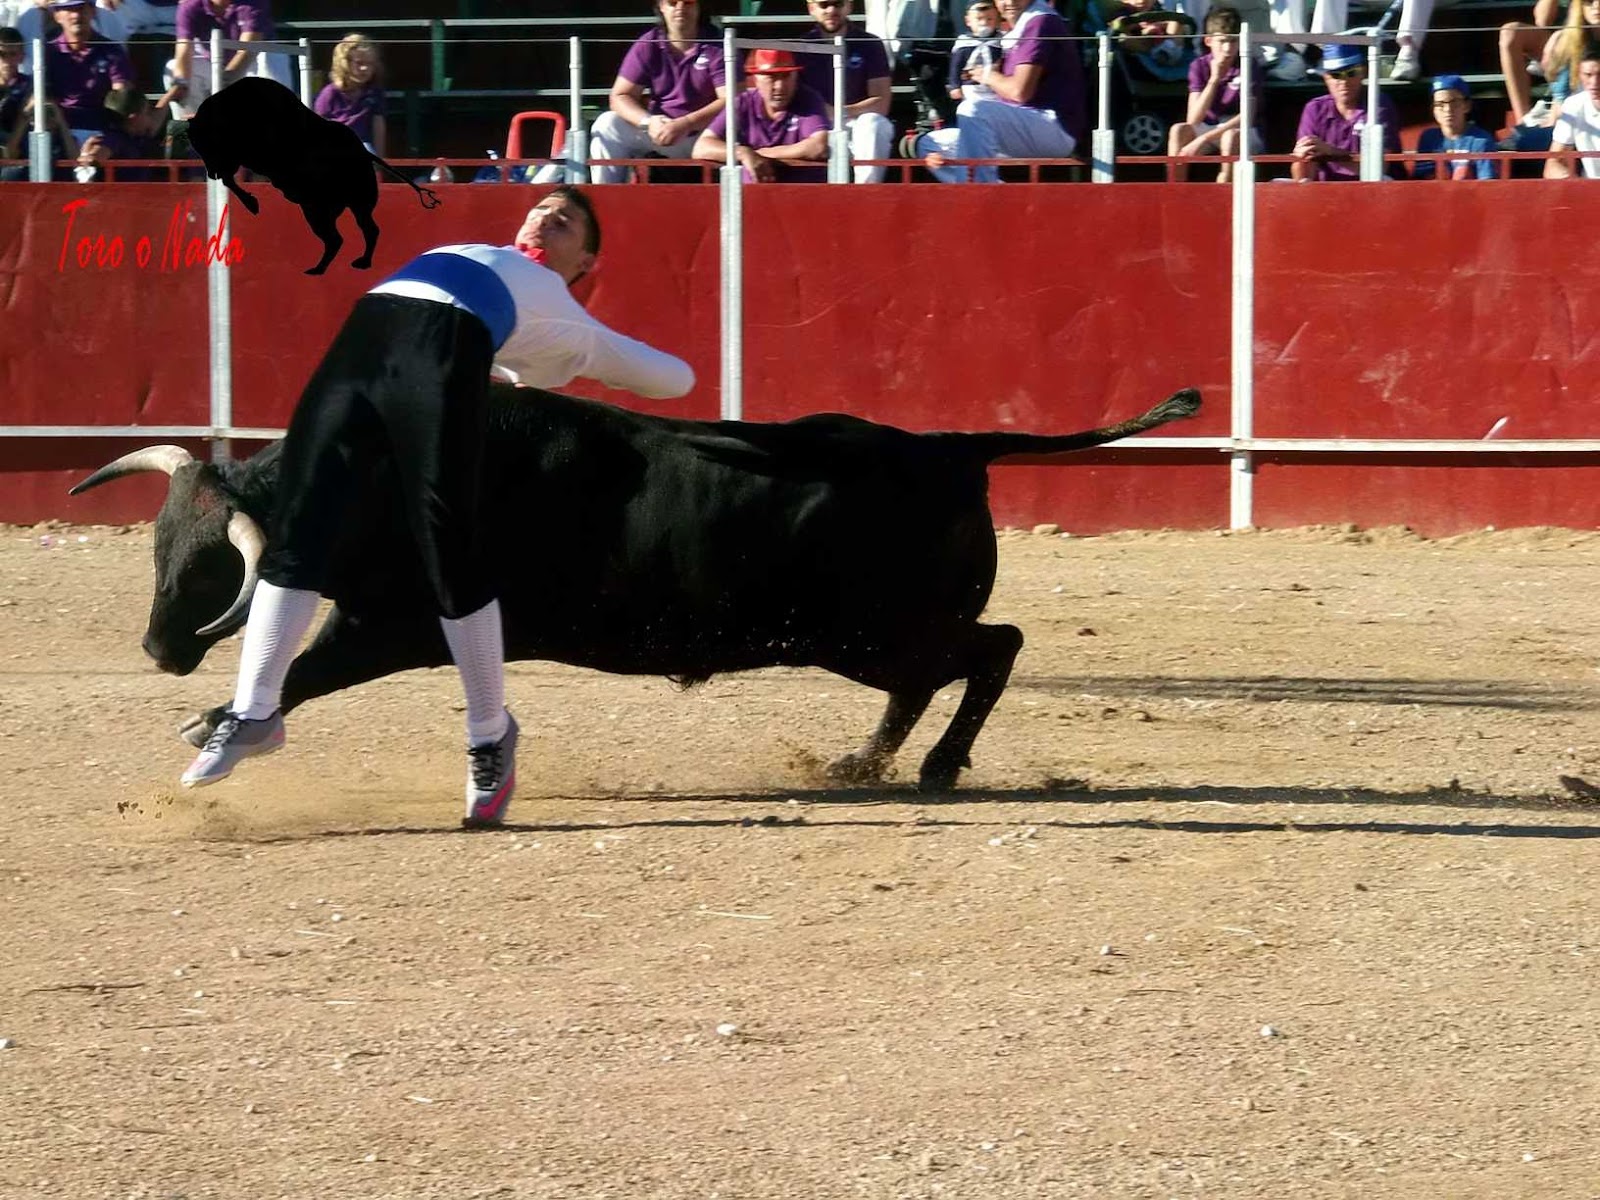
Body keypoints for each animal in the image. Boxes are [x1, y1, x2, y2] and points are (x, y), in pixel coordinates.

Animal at [70, 385, 1201, 790]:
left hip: (866, 630)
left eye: (213, 563)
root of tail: (951, 446)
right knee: (938, 674)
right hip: (867, 636)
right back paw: (862, 763)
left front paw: (216, 723)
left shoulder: (392, 626)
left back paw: (928, 769)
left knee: (991, 649)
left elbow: (304, 672)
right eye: (157, 545)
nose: (159, 649)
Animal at [185, 77, 441, 275]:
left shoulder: (249, 154)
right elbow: (230, 177)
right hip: (336, 207)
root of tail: (363, 152)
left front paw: (252, 203)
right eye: (197, 146)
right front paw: (252, 202)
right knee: (357, 233)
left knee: (344, 236)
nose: (211, 173)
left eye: (207, 143)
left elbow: (232, 174)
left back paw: (336, 266)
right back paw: (340, 265)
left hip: (330, 208)